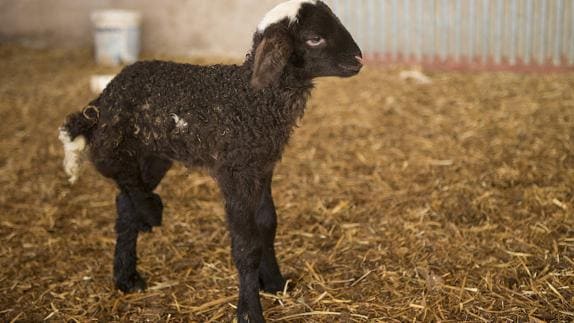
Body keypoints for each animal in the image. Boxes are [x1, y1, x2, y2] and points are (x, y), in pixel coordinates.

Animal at [59, 1, 364, 322]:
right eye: (314, 38)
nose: (359, 59)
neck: (251, 99)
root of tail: (103, 98)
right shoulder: (234, 173)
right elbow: (246, 246)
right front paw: (250, 310)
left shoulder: (261, 167)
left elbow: (267, 224)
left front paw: (274, 282)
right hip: (120, 145)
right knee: (118, 176)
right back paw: (150, 213)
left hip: (155, 155)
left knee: (124, 205)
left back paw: (127, 277)